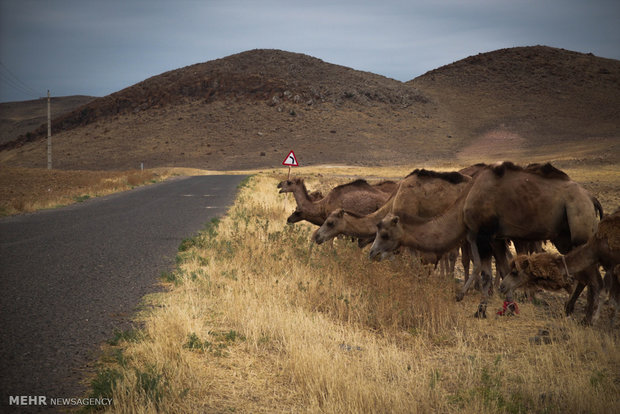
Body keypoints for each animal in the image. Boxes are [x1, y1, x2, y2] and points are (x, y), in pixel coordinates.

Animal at [370, 162, 604, 324]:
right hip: (564, 236)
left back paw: (587, 320)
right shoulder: (494, 237)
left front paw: (480, 309)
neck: (465, 202)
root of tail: (592, 199)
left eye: (384, 234)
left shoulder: (484, 235)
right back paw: (570, 309)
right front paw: (508, 308)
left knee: (594, 279)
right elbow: (501, 268)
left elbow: (485, 273)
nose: (372, 253)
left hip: (579, 226)